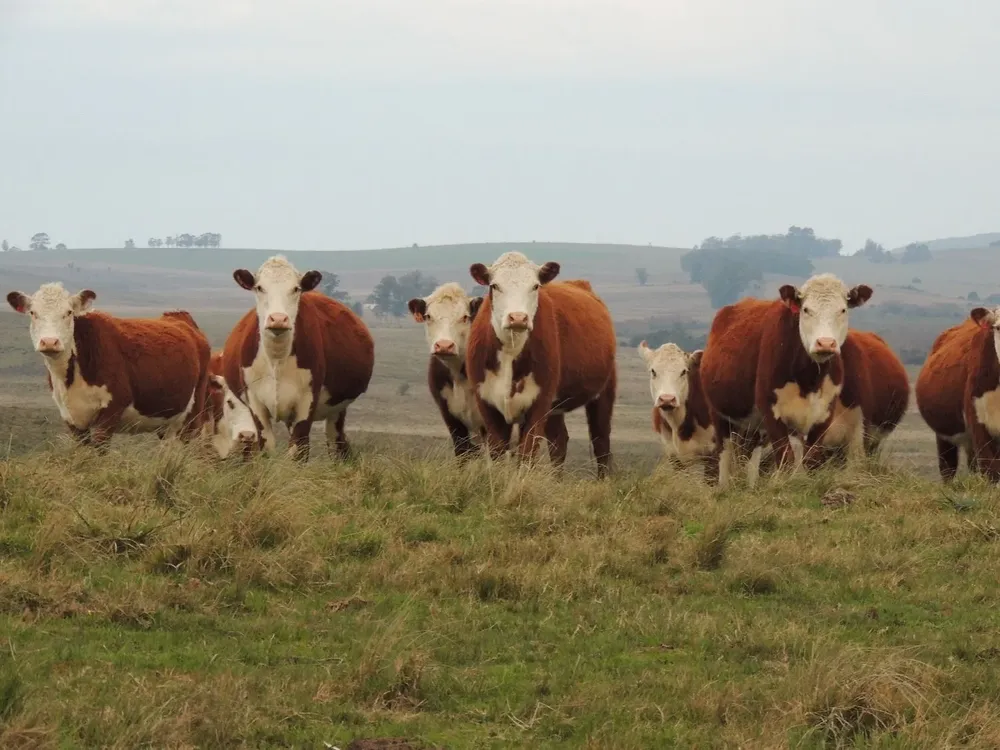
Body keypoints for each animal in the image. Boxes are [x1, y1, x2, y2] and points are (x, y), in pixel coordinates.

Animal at [5, 283, 210, 448]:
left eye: (69, 312)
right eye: (33, 313)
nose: (49, 342)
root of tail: (179, 317)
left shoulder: (110, 412)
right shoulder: (72, 419)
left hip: (193, 415)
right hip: (167, 421)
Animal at [223, 255, 374, 460]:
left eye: (296, 288)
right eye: (260, 287)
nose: (278, 319)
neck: (277, 360)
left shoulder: (307, 400)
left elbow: (298, 451)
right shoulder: (255, 403)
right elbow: (266, 448)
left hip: (337, 409)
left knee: (337, 443)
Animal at [466, 252, 617, 477]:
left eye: (535, 286)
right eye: (495, 285)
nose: (518, 318)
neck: (511, 351)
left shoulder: (539, 402)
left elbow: (527, 454)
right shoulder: (486, 402)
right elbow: (498, 453)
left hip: (603, 391)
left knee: (601, 441)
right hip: (555, 407)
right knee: (559, 441)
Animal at [700, 273, 873, 482]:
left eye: (843, 310)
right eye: (806, 310)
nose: (825, 343)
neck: (810, 380)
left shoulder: (825, 413)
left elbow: (811, 460)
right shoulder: (771, 412)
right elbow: (786, 459)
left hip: (753, 426)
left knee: (749, 458)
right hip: (719, 414)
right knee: (724, 455)